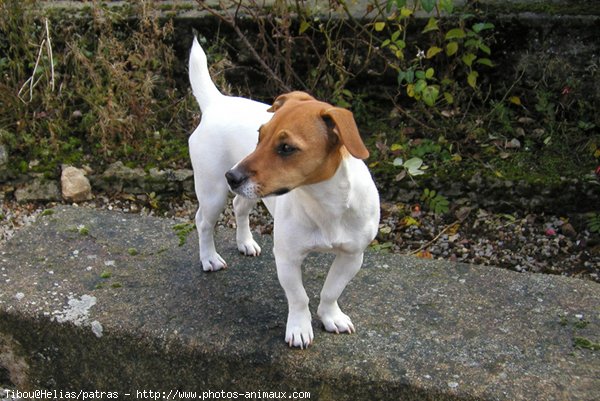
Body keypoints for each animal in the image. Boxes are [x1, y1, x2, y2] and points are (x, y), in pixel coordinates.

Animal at [190, 36, 382, 346]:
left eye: (286, 148)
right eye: (259, 136)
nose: (232, 176)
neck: (323, 202)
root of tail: (216, 102)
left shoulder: (352, 256)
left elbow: (331, 291)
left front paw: (331, 316)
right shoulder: (287, 258)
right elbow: (299, 297)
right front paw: (300, 328)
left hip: (249, 193)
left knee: (239, 209)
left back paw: (245, 242)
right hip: (212, 192)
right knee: (204, 223)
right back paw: (209, 257)